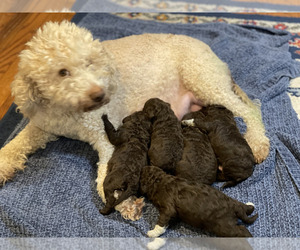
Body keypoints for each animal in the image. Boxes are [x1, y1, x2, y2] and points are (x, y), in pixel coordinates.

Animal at [0, 21, 270, 221]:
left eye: (90, 63)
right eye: (62, 72)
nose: (100, 94)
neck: (69, 112)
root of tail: (216, 57)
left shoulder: (105, 138)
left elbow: (106, 174)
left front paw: (123, 202)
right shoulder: (43, 126)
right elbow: (17, 144)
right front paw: (4, 164)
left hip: (204, 80)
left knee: (250, 111)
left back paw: (257, 143)